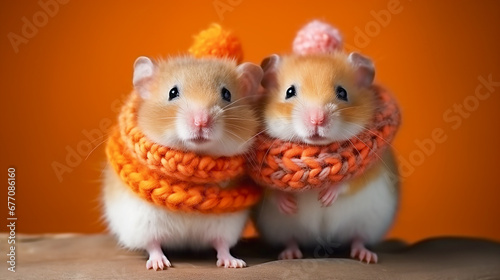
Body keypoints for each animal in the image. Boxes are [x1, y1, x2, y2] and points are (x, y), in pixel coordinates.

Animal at [103, 25, 264, 270]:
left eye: (226, 94)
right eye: (172, 92)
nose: (201, 122)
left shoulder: (228, 222)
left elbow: (222, 244)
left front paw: (235, 263)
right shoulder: (142, 220)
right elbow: (152, 243)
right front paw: (159, 265)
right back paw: (160, 264)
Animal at [252, 20, 400, 264]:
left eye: (342, 92)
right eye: (289, 91)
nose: (317, 119)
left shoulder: (371, 166)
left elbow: (348, 181)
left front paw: (325, 199)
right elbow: (272, 191)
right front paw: (289, 205)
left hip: (368, 222)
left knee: (358, 238)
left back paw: (366, 256)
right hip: (281, 229)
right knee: (290, 239)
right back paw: (290, 254)